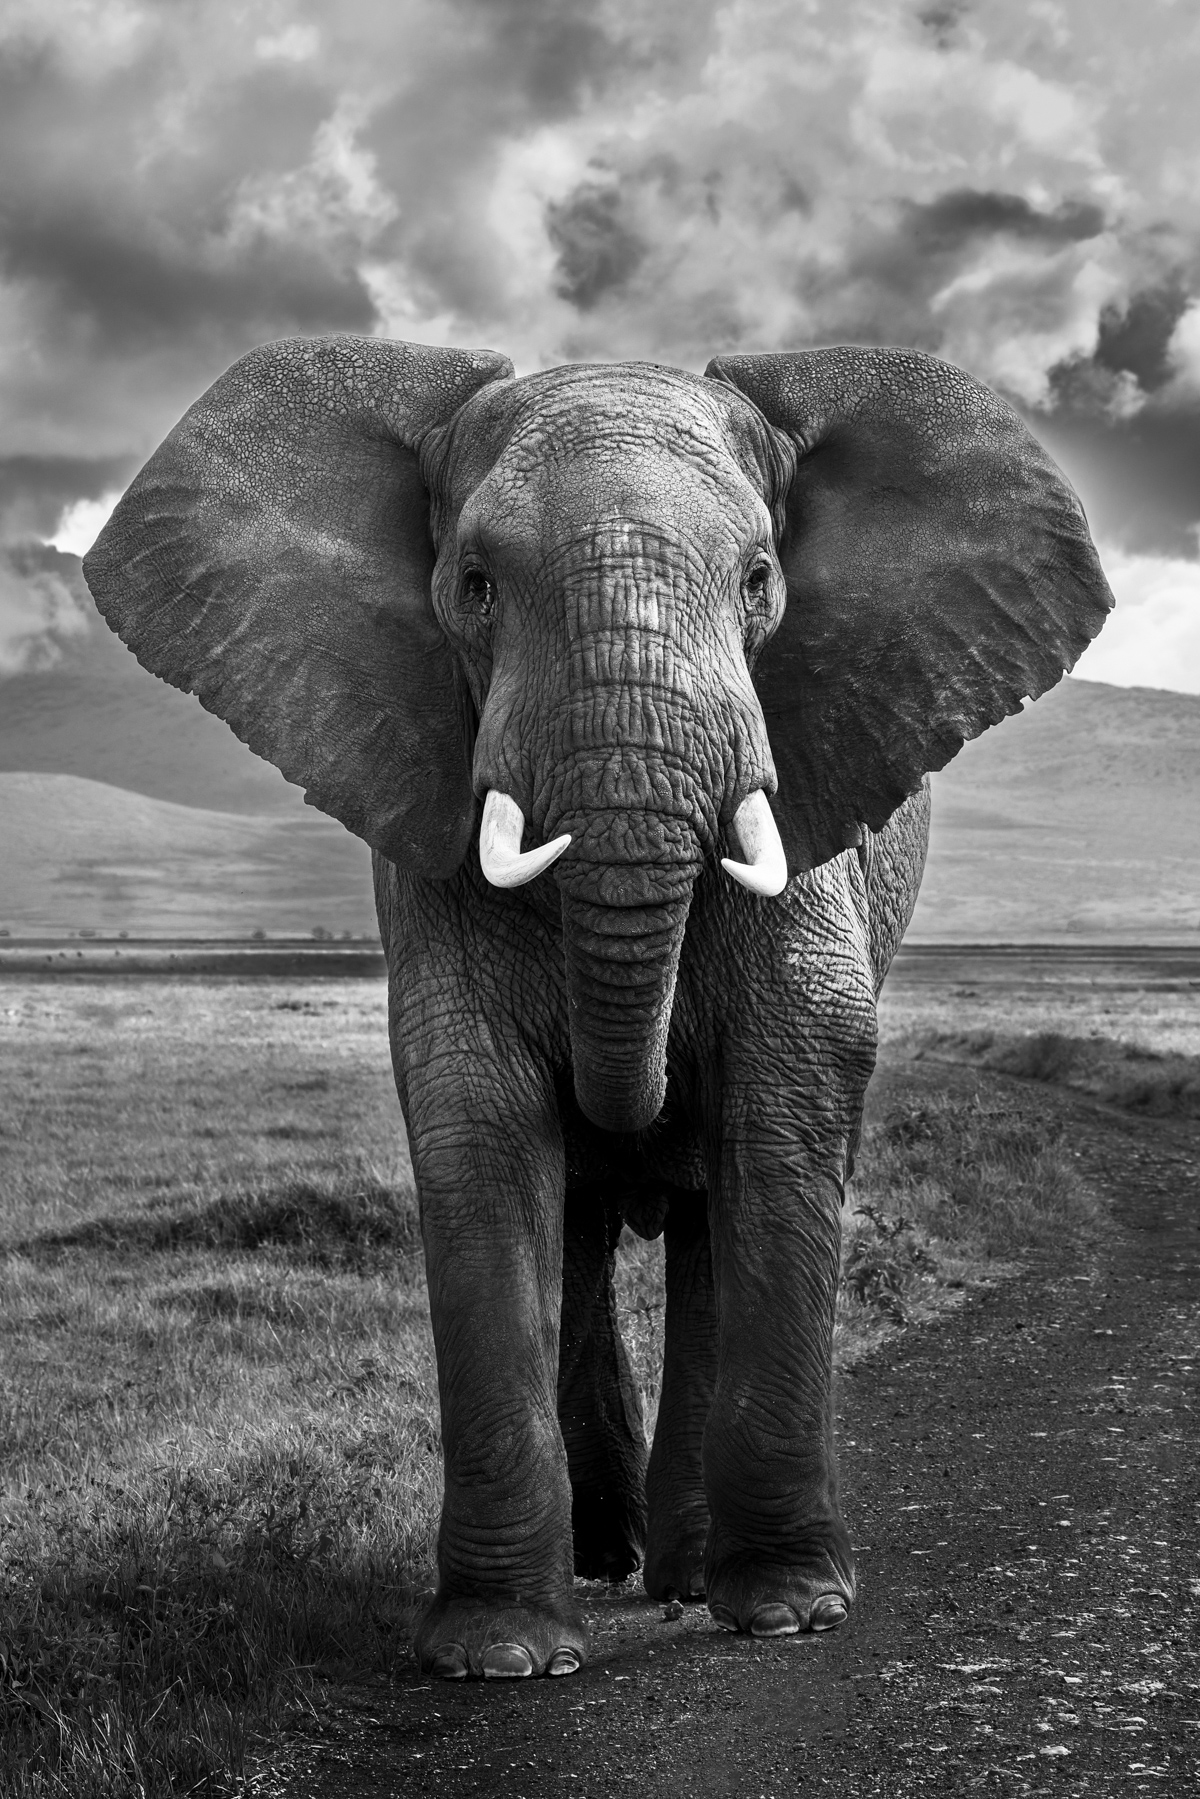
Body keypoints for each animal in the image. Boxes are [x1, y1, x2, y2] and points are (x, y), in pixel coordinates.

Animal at [83, 335, 1113, 1681]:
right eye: (473, 583)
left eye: (760, 579)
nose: (634, 1098)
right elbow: (478, 1108)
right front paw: (499, 1653)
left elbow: (790, 1086)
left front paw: (794, 1612)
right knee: (581, 1228)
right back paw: (611, 1560)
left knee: (711, 1215)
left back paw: (686, 1576)